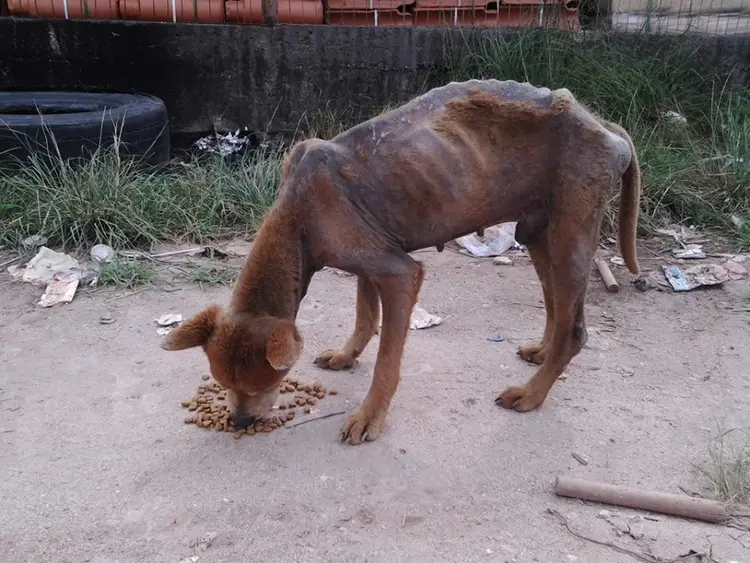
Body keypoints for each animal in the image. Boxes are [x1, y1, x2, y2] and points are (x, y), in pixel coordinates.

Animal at [162, 79, 644, 448]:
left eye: (262, 386)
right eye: (222, 383)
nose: (240, 422)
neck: (297, 216)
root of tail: (604, 126)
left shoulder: (399, 274)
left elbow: (387, 362)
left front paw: (370, 415)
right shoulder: (369, 260)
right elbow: (364, 314)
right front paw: (347, 354)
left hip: (569, 236)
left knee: (575, 330)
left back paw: (532, 394)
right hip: (538, 233)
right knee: (557, 307)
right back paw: (542, 351)